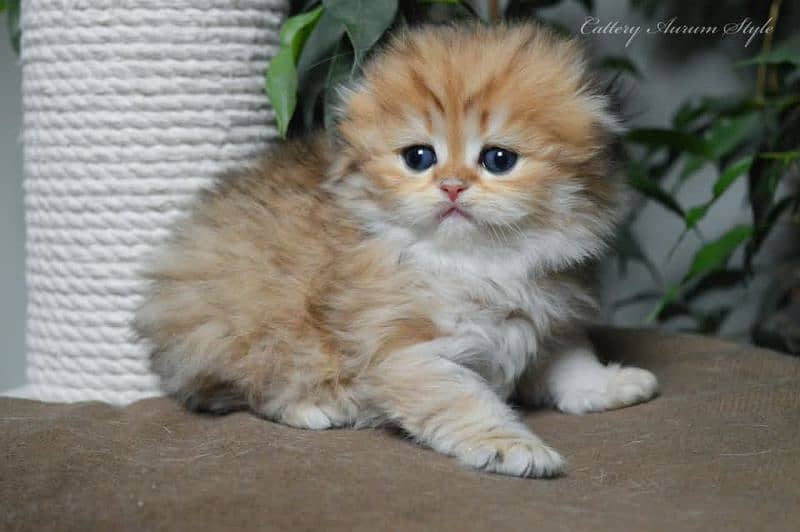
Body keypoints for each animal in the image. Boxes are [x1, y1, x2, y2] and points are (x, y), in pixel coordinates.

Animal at [136, 22, 656, 478]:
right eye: (419, 157)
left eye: (498, 160)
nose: (451, 186)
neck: (482, 265)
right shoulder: (409, 353)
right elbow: (468, 405)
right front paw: (511, 447)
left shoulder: (550, 322)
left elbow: (575, 364)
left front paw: (610, 385)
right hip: (246, 332)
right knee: (250, 390)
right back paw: (319, 406)